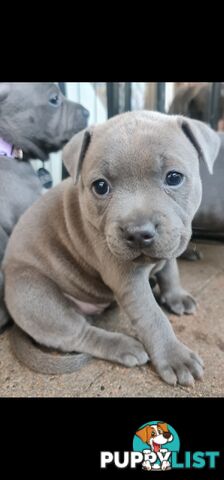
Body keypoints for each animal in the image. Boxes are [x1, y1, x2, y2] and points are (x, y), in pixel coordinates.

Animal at [2, 111, 220, 386]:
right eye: (100, 186)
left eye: (174, 177)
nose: (137, 233)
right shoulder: (128, 279)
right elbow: (153, 317)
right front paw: (175, 356)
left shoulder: (171, 239)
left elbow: (171, 271)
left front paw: (175, 296)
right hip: (33, 295)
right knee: (77, 334)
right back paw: (123, 346)